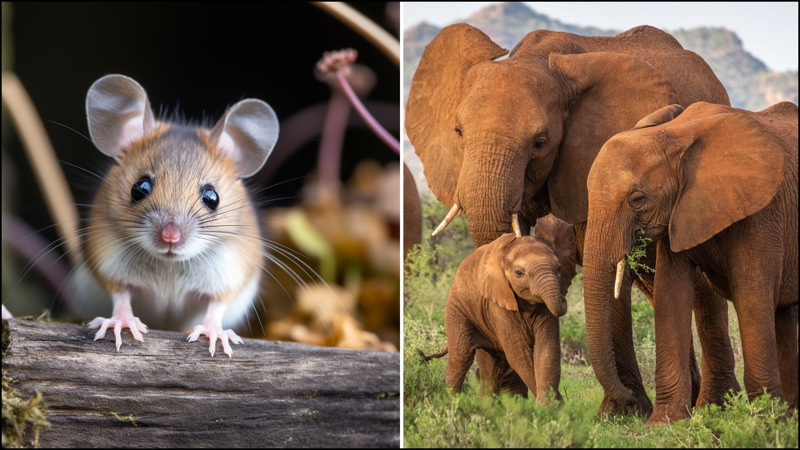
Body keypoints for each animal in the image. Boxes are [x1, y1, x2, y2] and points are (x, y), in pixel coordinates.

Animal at [440, 220, 580, 402]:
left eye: (559, 269)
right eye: (519, 273)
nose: (563, 298)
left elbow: (547, 349)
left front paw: (552, 404)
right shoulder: (496, 302)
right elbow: (518, 354)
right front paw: (551, 405)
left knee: (494, 366)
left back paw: (485, 404)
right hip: (457, 306)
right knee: (461, 355)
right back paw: (450, 401)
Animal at [580, 100, 800, 424]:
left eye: (638, 199)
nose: (630, 400)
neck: (673, 135)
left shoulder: (763, 210)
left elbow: (752, 297)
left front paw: (766, 422)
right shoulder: (678, 213)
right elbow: (671, 296)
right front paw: (663, 423)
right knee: (785, 315)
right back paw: (792, 414)